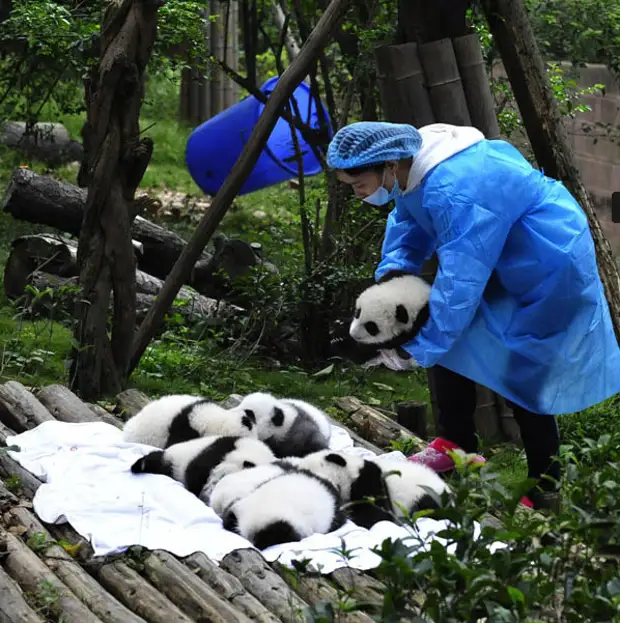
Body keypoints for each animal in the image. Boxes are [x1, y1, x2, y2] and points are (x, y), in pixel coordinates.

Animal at [130, 436, 274, 504]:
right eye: (221, 478)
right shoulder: (220, 449)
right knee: (155, 460)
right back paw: (138, 466)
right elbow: (197, 471)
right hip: (173, 458)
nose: (204, 496)